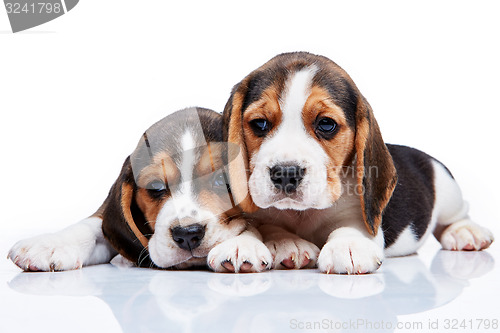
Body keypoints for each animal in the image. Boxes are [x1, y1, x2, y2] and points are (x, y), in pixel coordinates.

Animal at [6, 107, 274, 272]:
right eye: (155, 187)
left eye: (222, 180)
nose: (187, 234)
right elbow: (92, 227)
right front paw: (49, 244)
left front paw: (242, 244)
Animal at [224, 52, 496, 274]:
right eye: (259, 123)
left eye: (326, 124)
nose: (285, 173)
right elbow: (266, 225)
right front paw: (279, 241)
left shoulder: (359, 213)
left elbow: (351, 227)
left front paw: (348, 245)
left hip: (448, 188)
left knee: (457, 215)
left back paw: (465, 232)